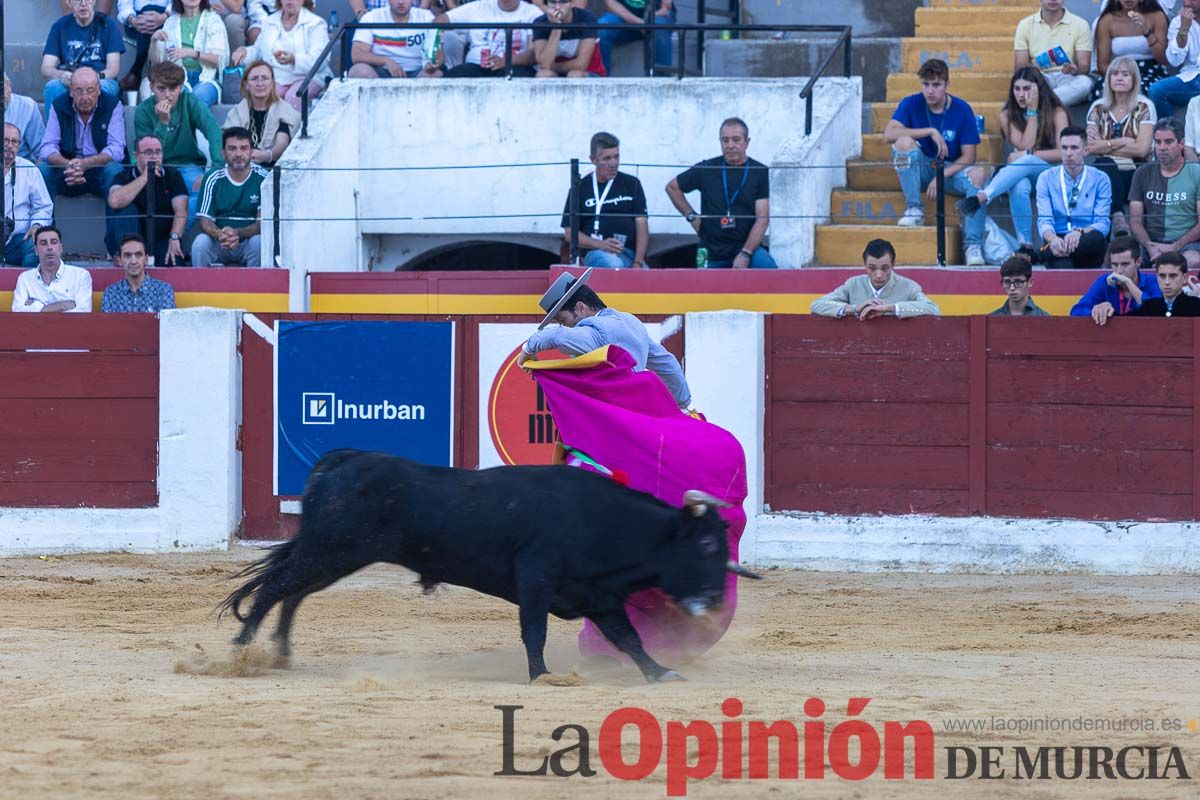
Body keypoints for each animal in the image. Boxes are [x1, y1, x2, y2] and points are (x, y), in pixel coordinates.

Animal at [218, 450, 758, 681]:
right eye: (706, 544)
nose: (714, 599)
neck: (606, 521)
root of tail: (343, 461)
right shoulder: (536, 577)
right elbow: (534, 631)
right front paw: (541, 676)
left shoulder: (599, 595)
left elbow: (629, 638)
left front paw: (661, 673)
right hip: (330, 549)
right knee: (275, 590)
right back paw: (240, 654)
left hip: (336, 555)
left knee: (293, 593)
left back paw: (280, 652)